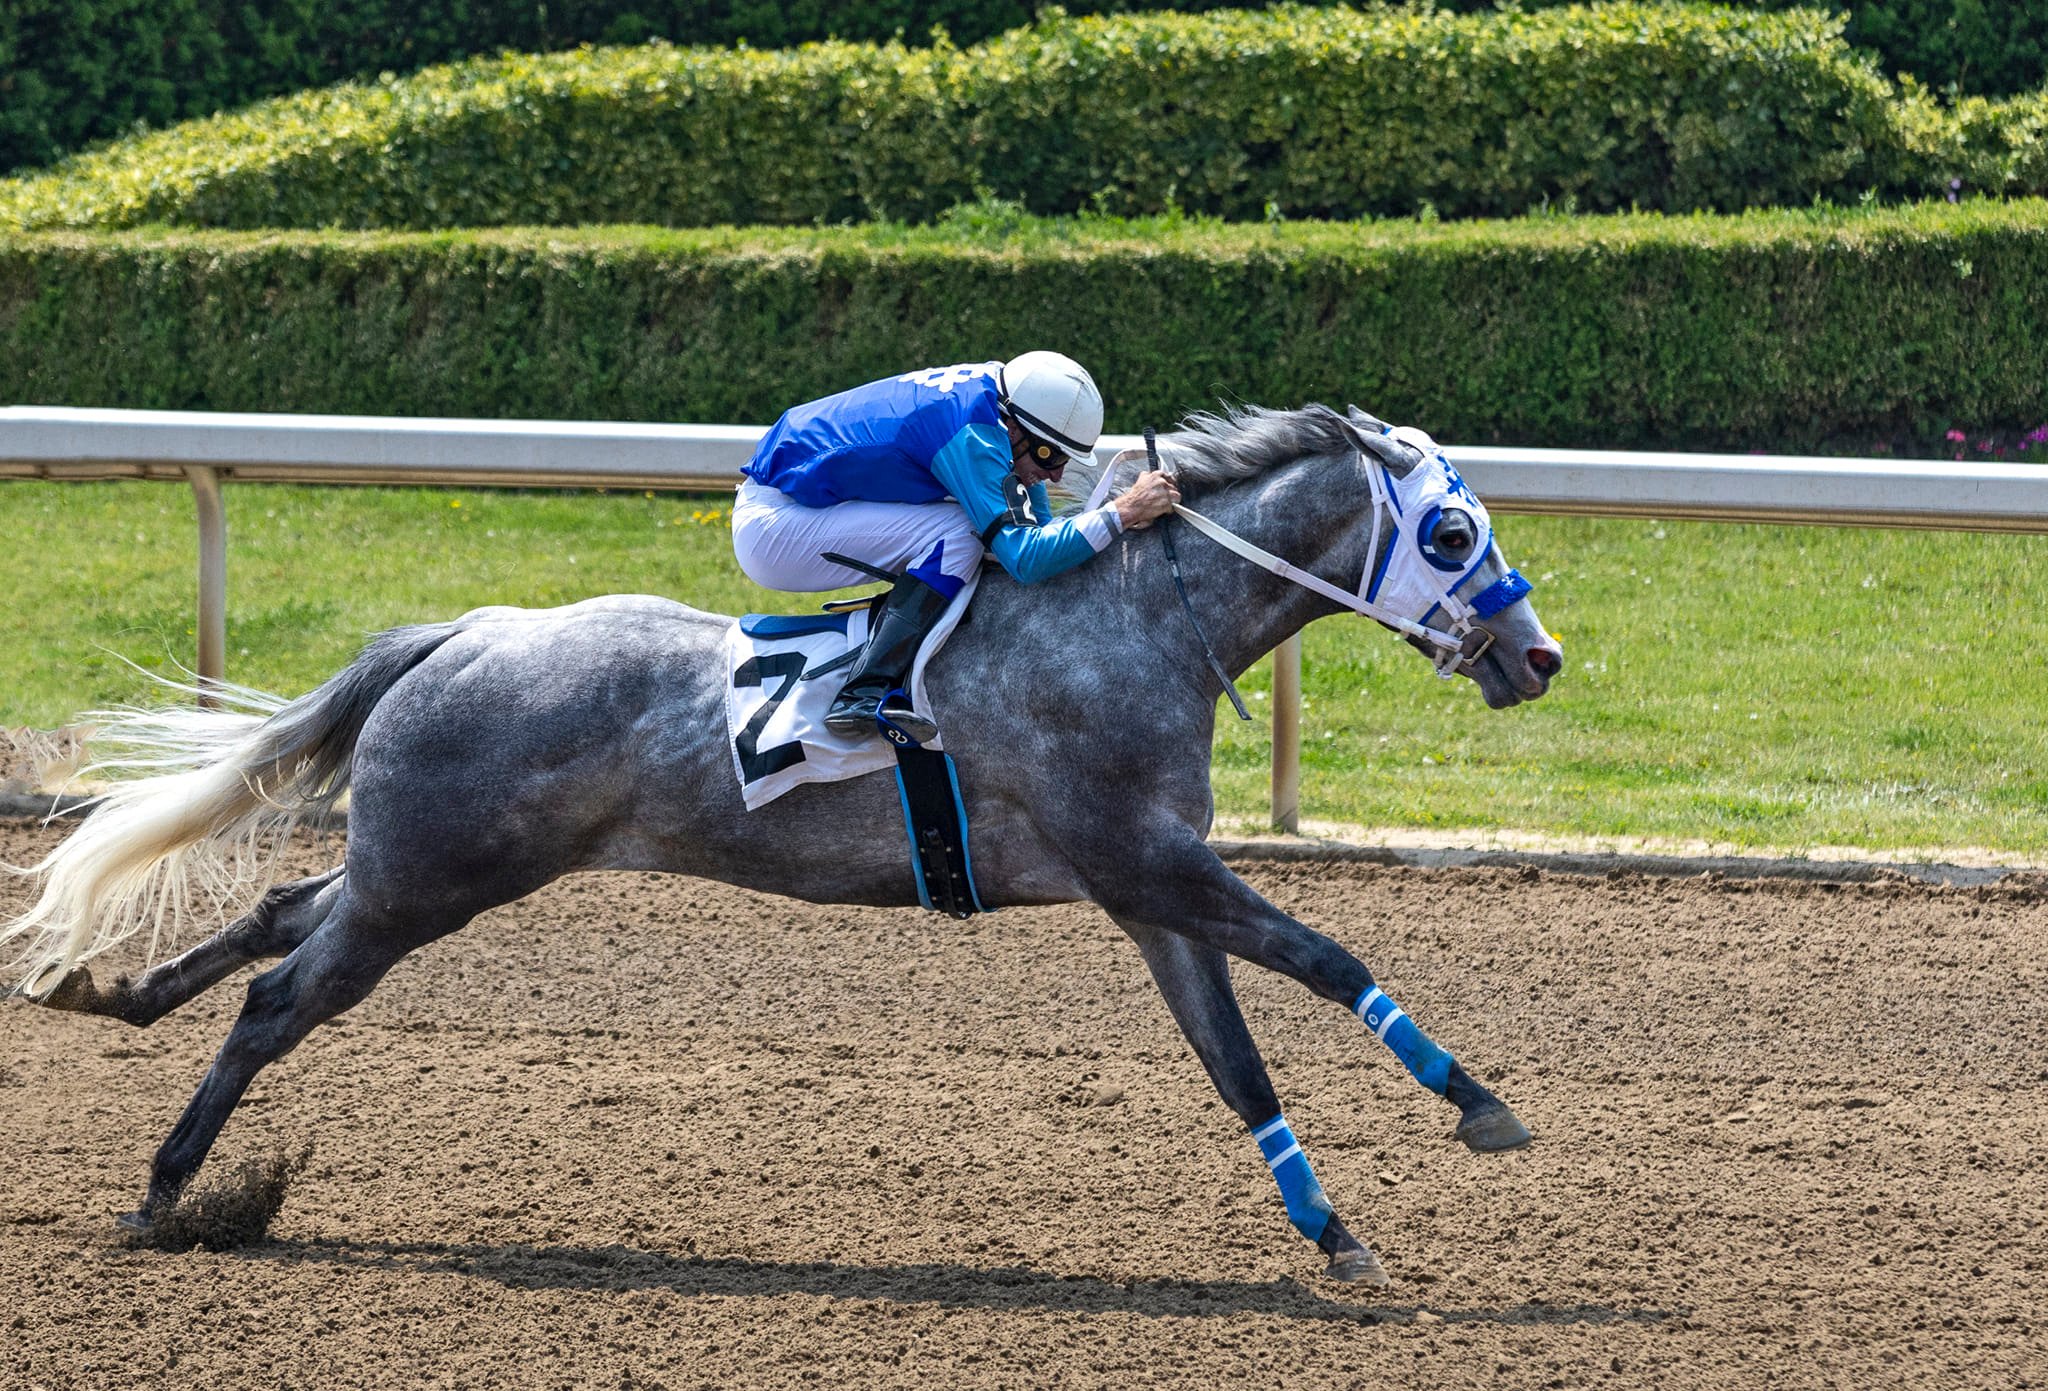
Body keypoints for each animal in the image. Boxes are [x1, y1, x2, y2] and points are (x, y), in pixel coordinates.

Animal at [2, 402, 1563, 1285]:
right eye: (1449, 530)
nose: (1537, 655)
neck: (1132, 620)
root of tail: (462, 632)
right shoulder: (1144, 858)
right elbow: (1325, 952)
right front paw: (1482, 1105)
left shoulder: (1147, 890)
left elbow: (1239, 1064)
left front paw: (1337, 1233)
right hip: (428, 879)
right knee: (282, 992)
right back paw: (165, 1190)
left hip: (423, 864)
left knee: (280, 912)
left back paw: (110, 992)